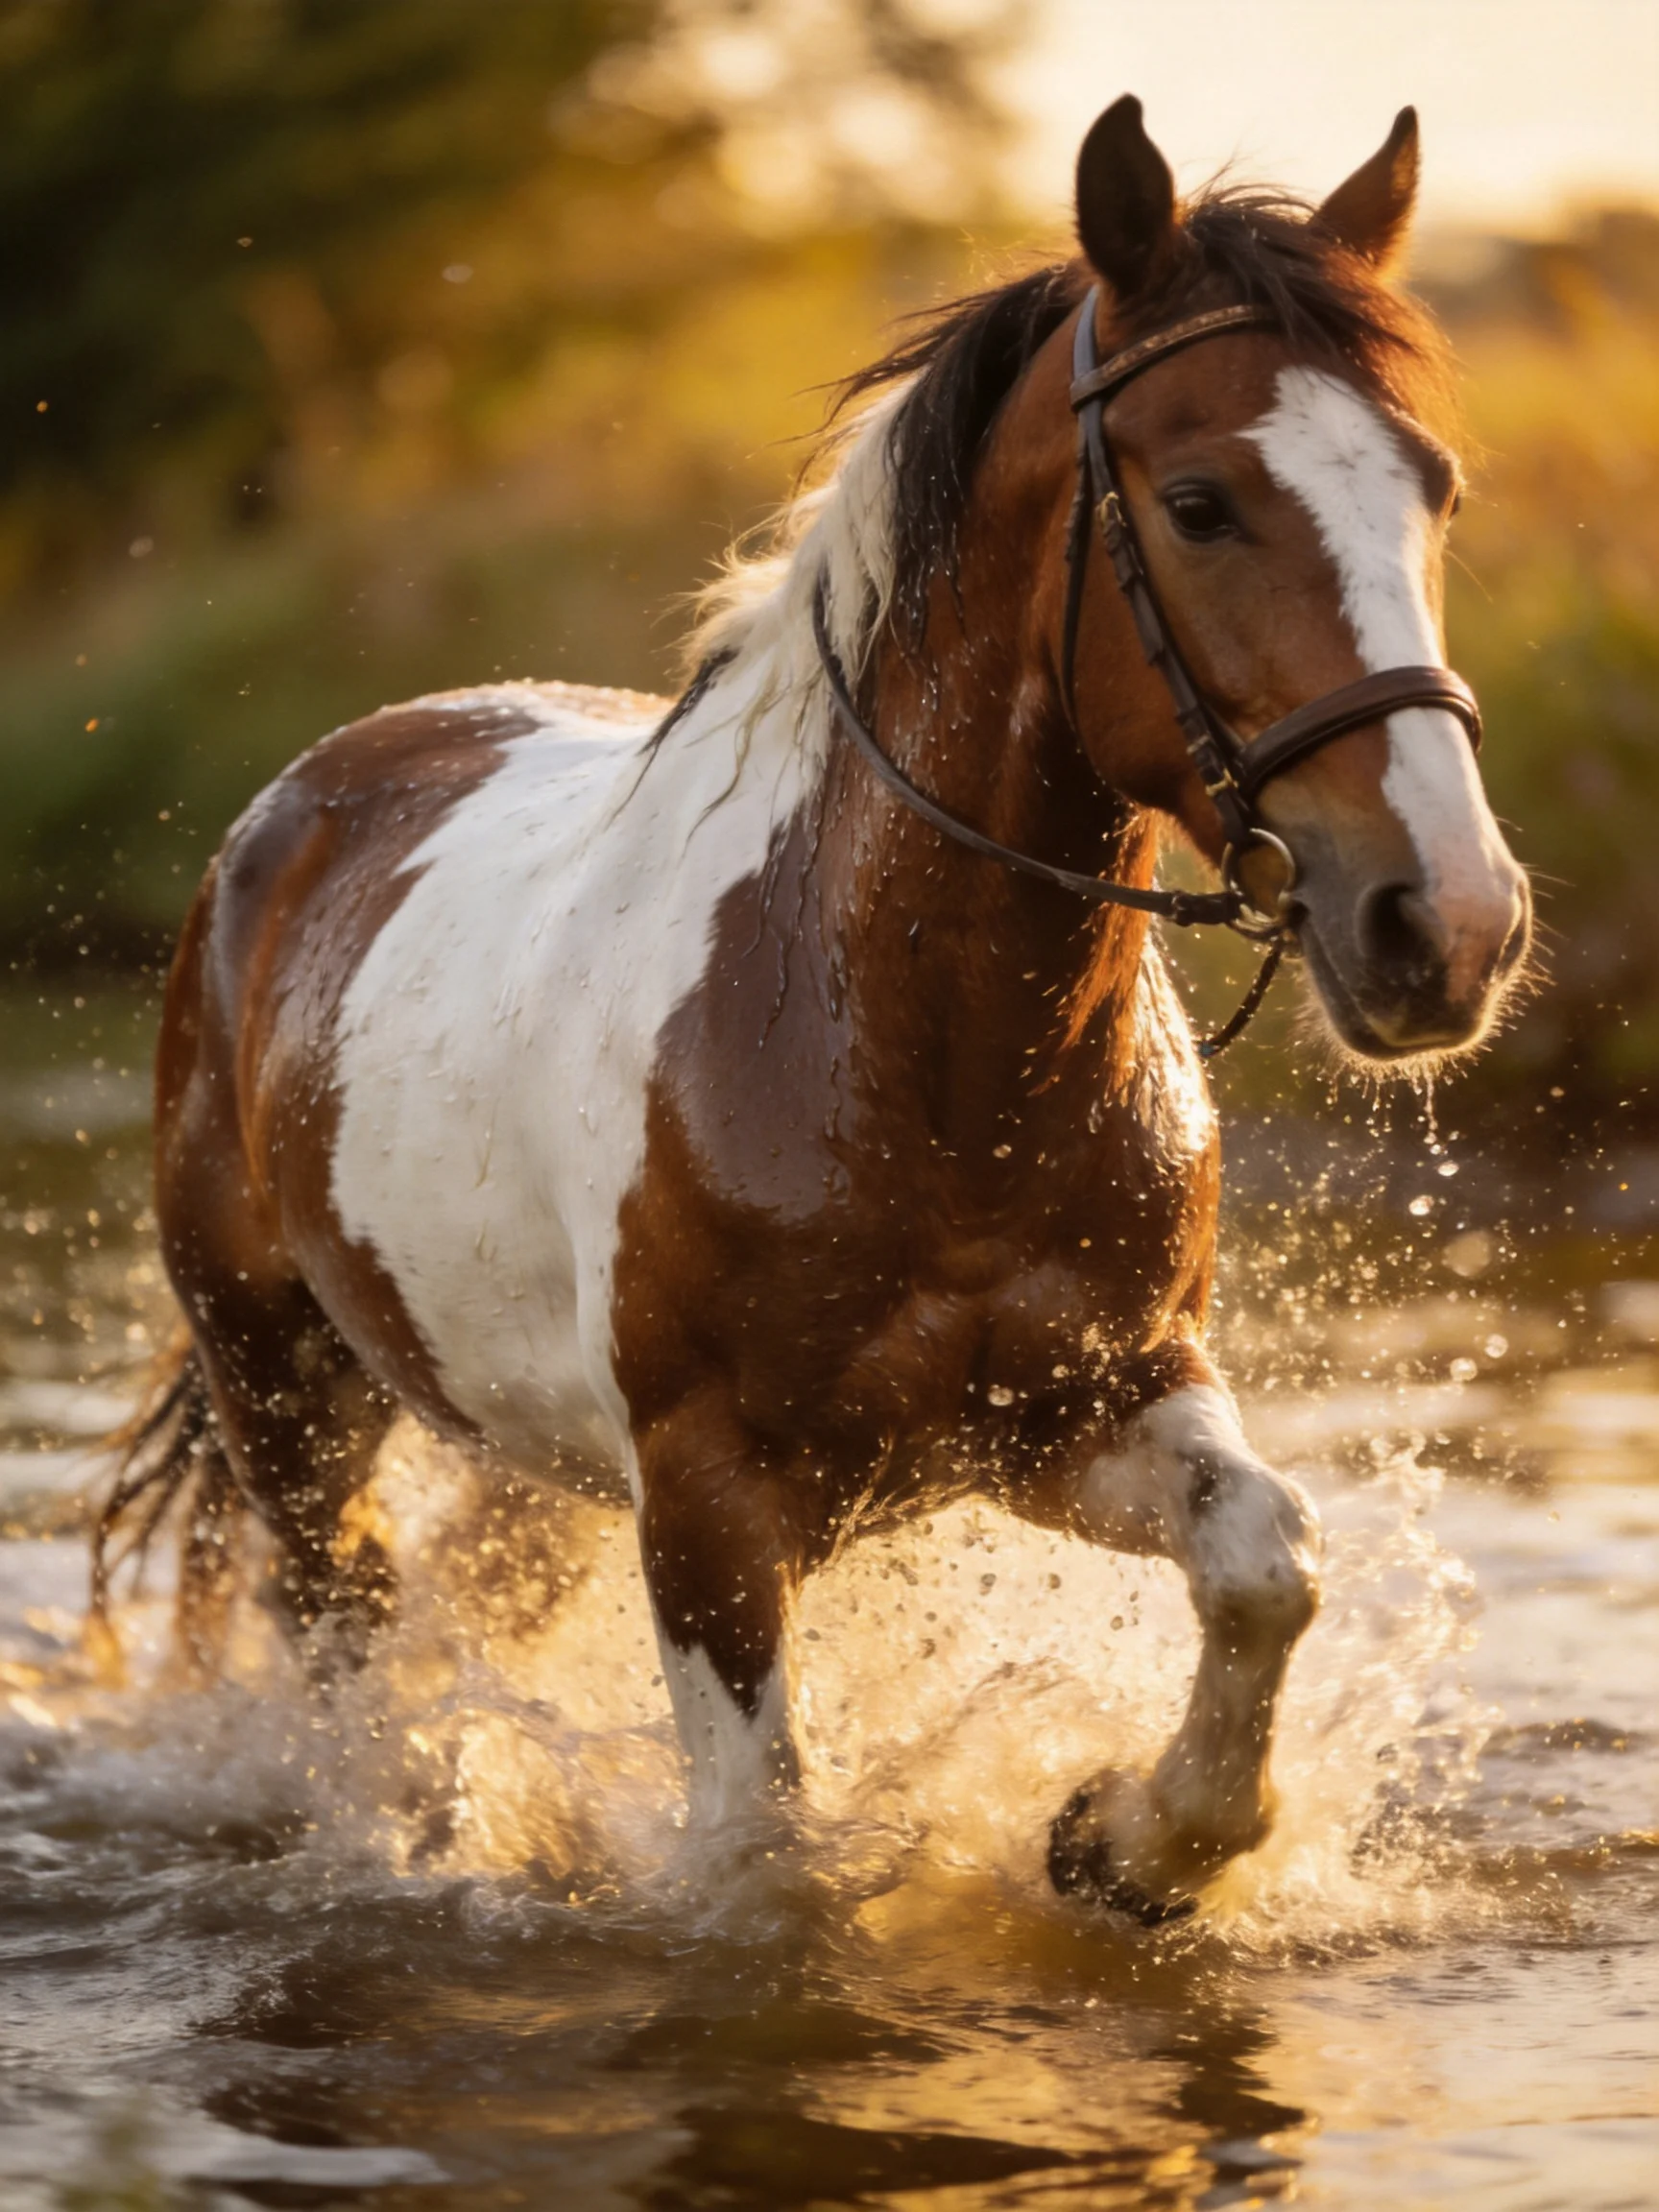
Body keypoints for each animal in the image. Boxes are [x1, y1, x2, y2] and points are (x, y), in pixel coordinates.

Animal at [98, 96, 1530, 1923]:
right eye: (1201, 501)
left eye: (1432, 488)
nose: (1448, 924)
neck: (905, 1052)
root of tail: (285, 815)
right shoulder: (707, 1503)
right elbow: (768, 1852)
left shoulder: (1081, 1401)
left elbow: (1265, 1564)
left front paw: (1120, 1839)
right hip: (287, 1390)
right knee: (340, 1630)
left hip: (515, 1457)